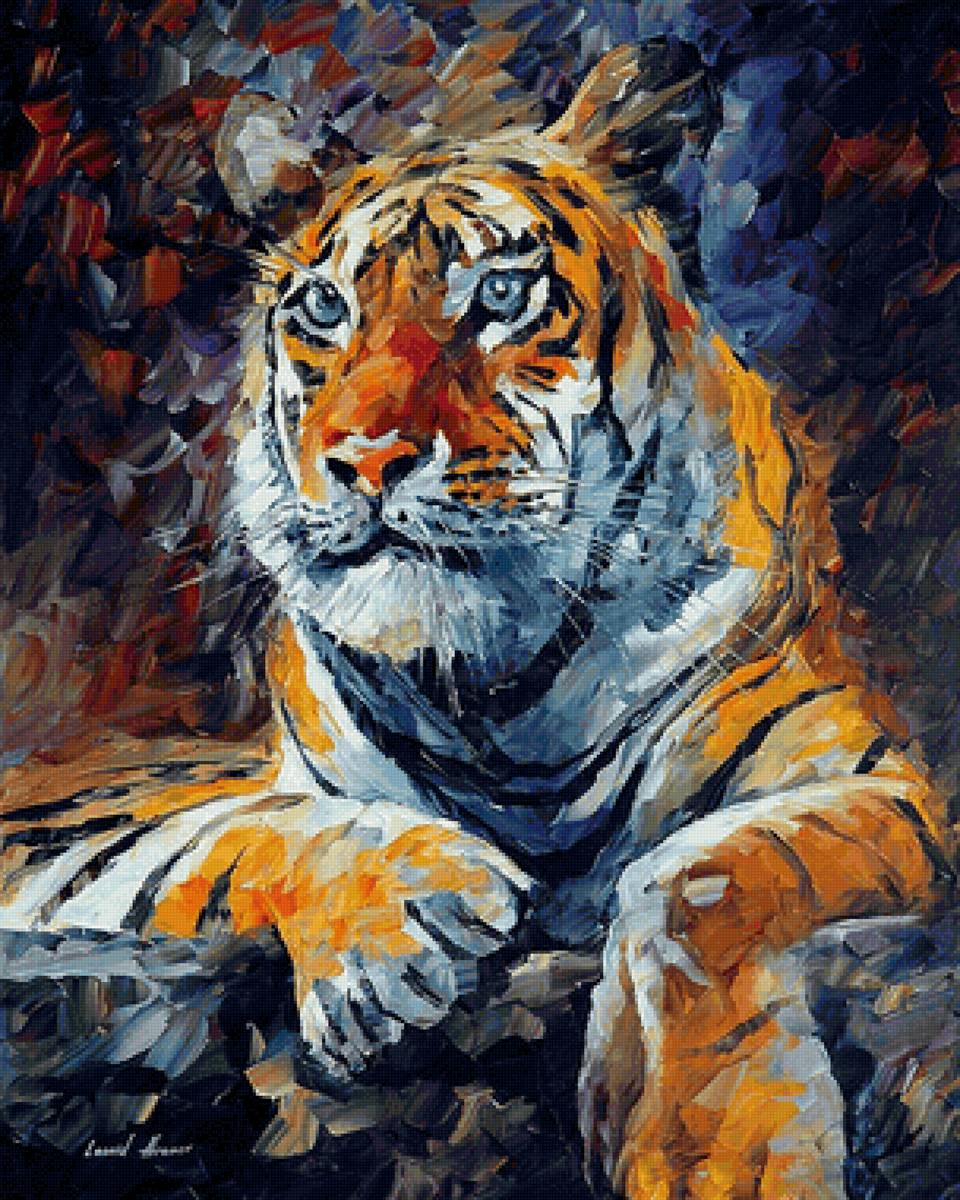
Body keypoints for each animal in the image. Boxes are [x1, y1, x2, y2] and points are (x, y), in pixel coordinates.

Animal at [0, 44, 956, 1200]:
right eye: (323, 309)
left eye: (501, 292)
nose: (364, 460)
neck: (498, 686)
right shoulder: (73, 833)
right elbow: (243, 830)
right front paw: (404, 917)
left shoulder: (882, 786)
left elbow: (708, 871)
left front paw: (716, 1150)